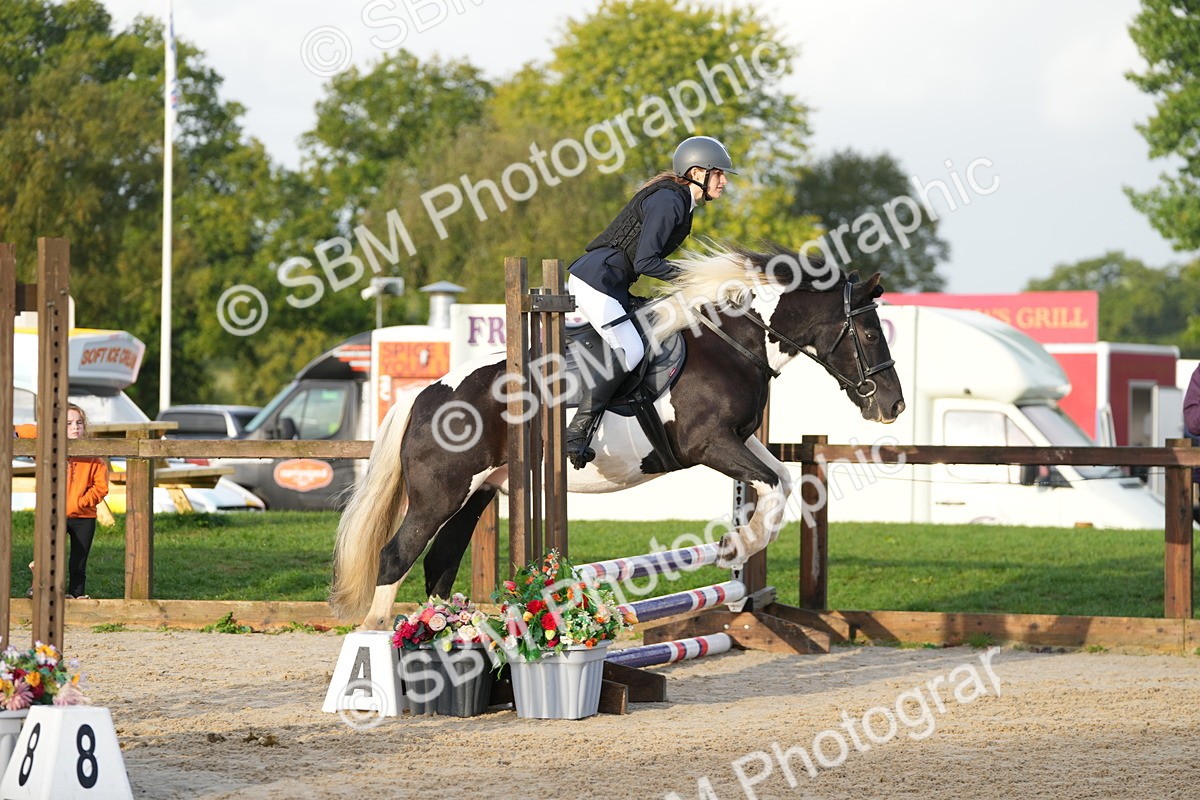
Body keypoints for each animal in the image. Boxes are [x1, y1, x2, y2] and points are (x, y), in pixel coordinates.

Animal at [330, 243, 906, 629]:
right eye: (869, 332)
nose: (893, 406)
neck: (736, 342)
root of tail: (424, 397)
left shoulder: (740, 440)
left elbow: (781, 480)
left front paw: (736, 545)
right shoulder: (709, 444)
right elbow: (769, 486)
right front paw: (734, 544)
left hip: (478, 492)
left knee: (439, 562)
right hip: (441, 494)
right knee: (396, 556)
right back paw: (380, 642)